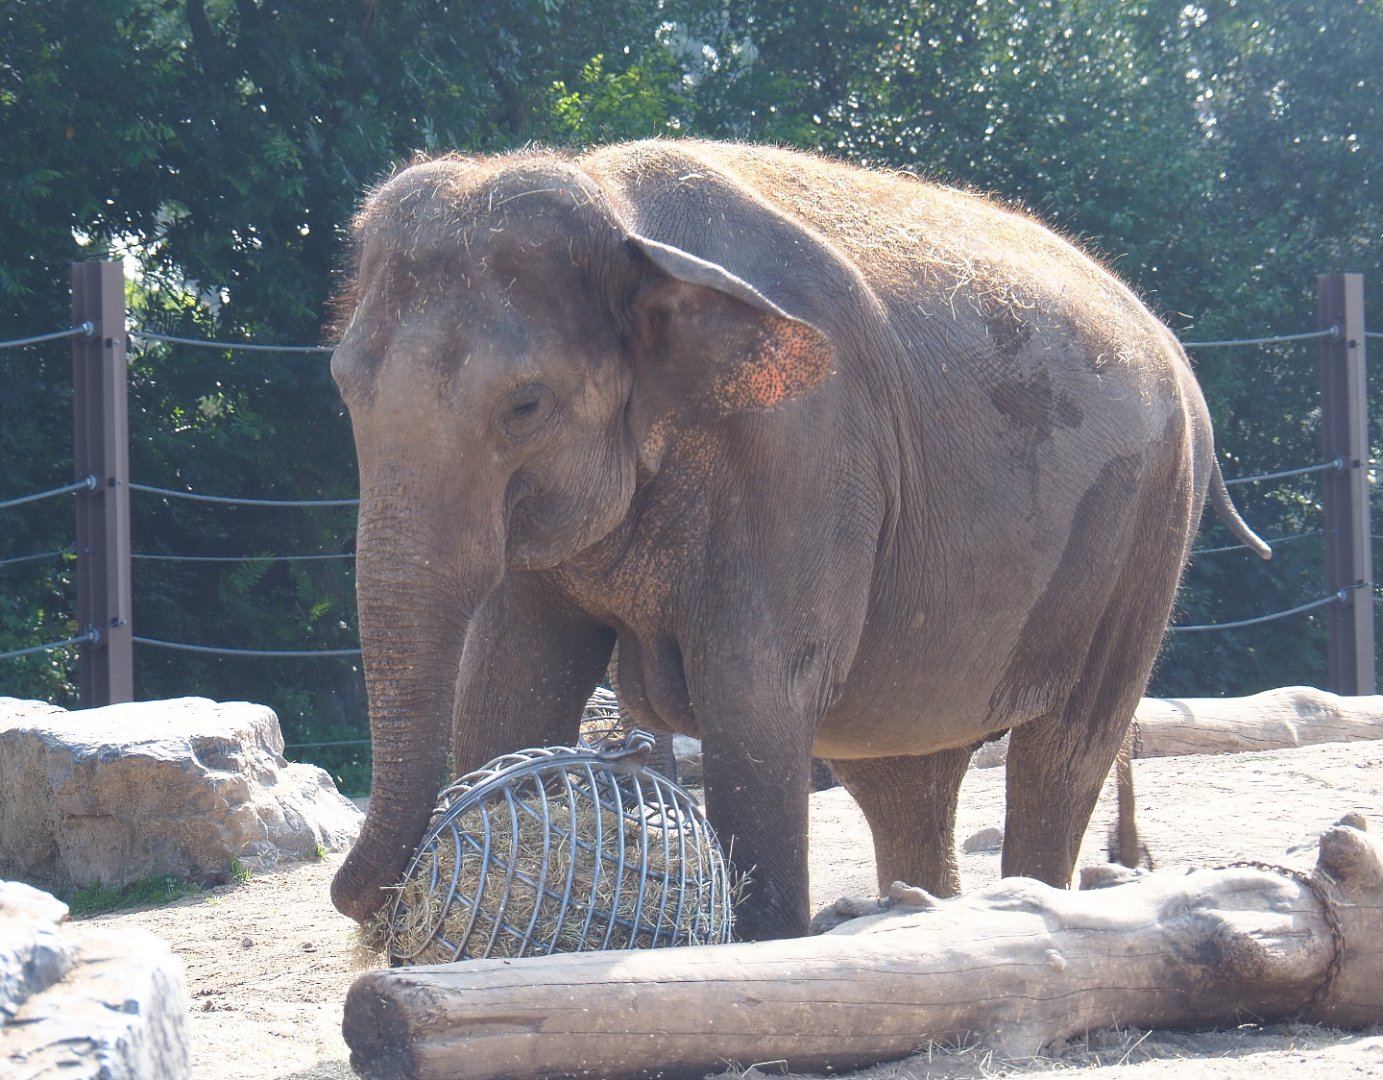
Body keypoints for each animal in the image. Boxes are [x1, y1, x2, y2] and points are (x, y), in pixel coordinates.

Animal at [328, 139, 1268, 941]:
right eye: (340, 383)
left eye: (524, 405)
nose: (366, 900)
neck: (621, 216)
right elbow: (509, 681)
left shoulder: (804, 452)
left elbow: (754, 696)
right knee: (905, 773)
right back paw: (922, 911)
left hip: (1150, 522)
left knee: (1064, 749)